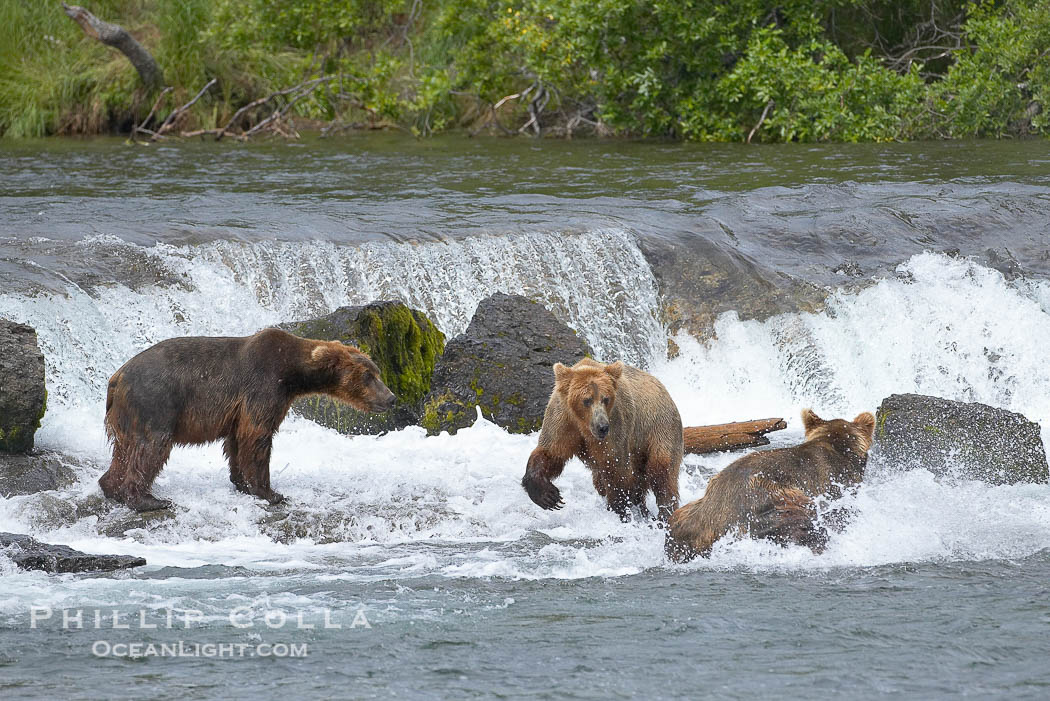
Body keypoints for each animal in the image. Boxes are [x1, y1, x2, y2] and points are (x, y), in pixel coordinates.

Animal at [99, 328, 396, 512]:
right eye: (368, 376)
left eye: (377, 372)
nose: (391, 397)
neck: (293, 374)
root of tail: (116, 377)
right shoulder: (263, 386)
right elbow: (257, 436)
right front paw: (270, 492)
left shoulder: (239, 410)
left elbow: (237, 442)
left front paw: (242, 483)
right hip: (155, 402)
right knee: (150, 448)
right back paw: (147, 499)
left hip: (125, 416)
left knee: (123, 451)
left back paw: (110, 487)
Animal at [521, 358, 684, 522]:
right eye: (587, 400)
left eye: (605, 398)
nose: (602, 427)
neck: (584, 425)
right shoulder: (563, 420)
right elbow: (551, 453)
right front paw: (548, 496)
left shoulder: (616, 427)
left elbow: (615, 468)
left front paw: (620, 509)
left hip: (659, 429)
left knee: (662, 474)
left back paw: (664, 513)